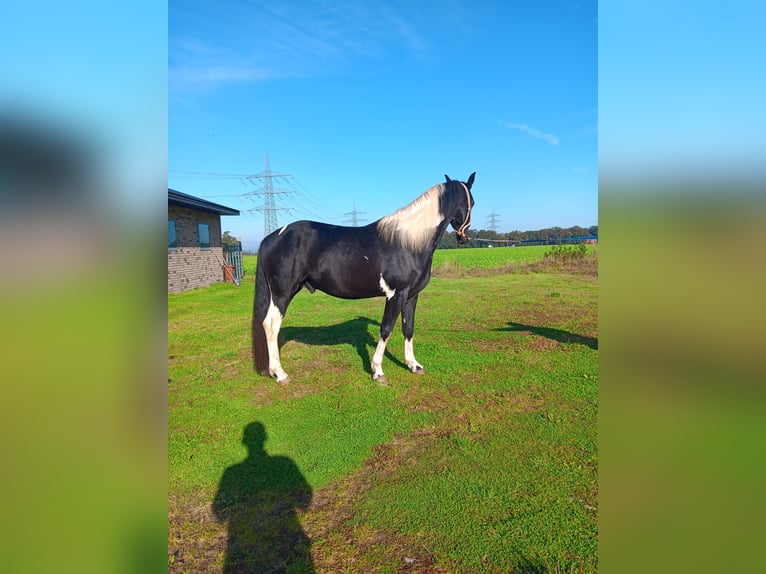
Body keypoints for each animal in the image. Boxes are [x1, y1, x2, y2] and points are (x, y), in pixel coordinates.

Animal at [255, 172, 476, 388]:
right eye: (471, 202)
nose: (463, 238)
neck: (408, 242)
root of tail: (271, 237)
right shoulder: (395, 295)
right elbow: (386, 329)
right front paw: (378, 371)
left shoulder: (411, 296)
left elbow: (408, 328)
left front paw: (413, 365)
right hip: (283, 293)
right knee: (271, 325)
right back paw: (280, 374)